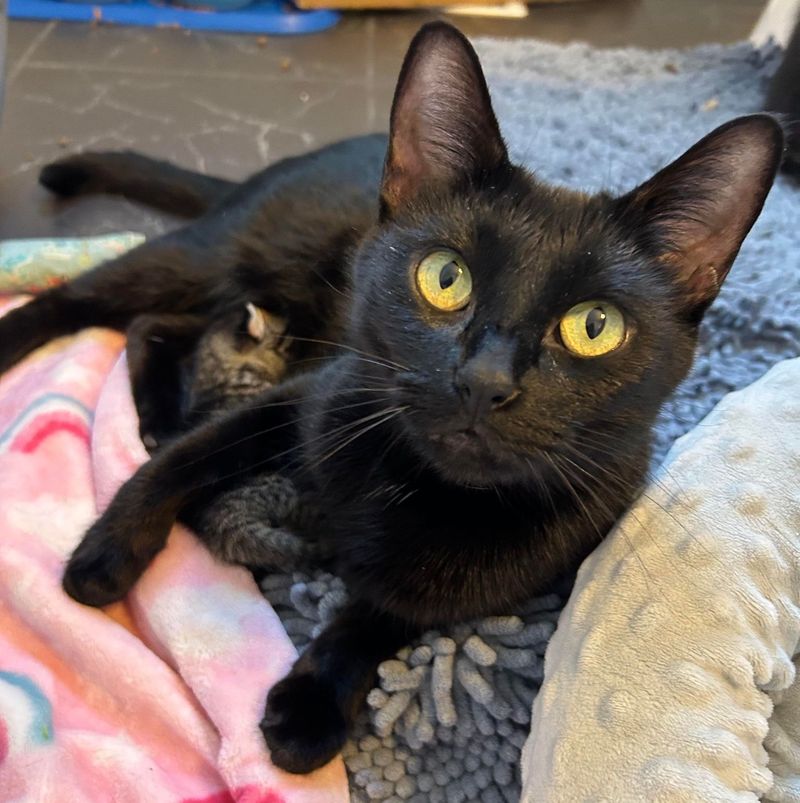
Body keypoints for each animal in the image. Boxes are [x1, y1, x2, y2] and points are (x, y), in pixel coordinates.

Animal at [0, 22, 780, 772]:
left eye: (595, 327)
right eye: (445, 276)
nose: (485, 381)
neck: (415, 485)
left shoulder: (507, 567)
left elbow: (389, 609)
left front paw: (312, 703)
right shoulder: (314, 393)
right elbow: (188, 462)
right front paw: (107, 552)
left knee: (151, 324)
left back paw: (159, 413)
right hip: (215, 255)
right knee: (85, 300)